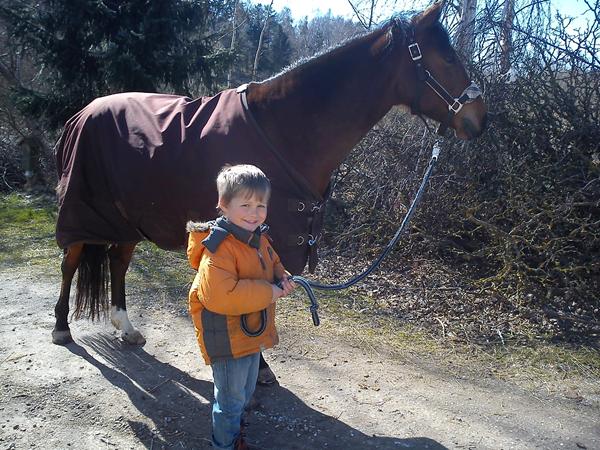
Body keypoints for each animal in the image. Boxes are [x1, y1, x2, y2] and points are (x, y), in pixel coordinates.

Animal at [50, 2, 482, 362]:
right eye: (446, 56)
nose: (481, 117)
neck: (285, 128)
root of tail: (82, 114)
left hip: (127, 217)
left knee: (117, 262)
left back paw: (126, 328)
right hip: (83, 209)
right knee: (70, 262)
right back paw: (61, 328)